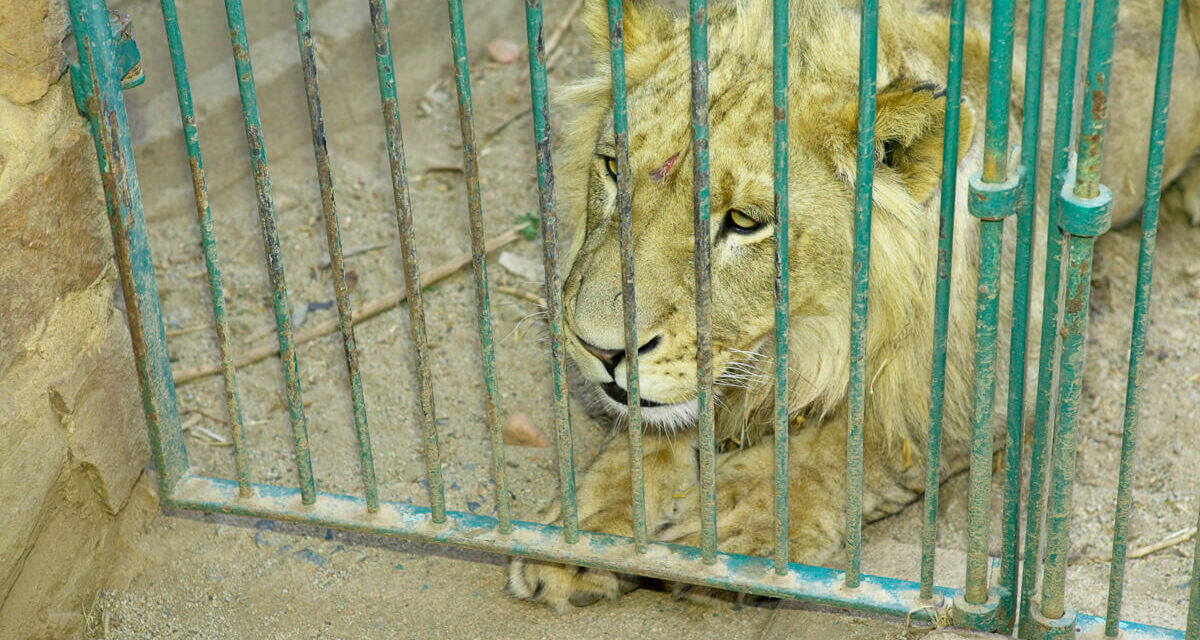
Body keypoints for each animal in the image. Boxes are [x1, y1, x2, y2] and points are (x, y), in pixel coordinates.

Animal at [507, 0, 1200, 611]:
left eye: (743, 222)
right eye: (612, 167)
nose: (597, 348)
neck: (810, 333)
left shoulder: (1007, 364)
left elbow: (848, 446)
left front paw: (737, 530)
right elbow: (647, 432)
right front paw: (587, 530)